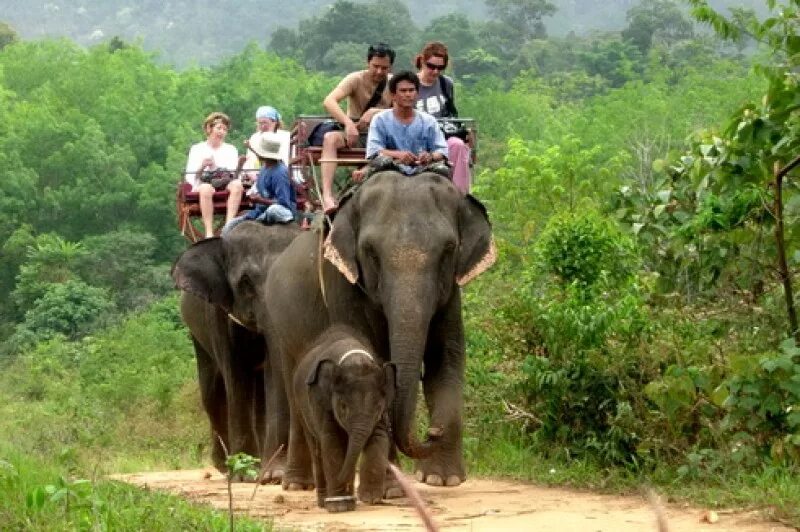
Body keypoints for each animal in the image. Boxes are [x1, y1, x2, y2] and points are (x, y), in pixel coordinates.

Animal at [172, 222, 300, 480]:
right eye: (245, 282)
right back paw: (223, 465)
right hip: (197, 335)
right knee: (212, 394)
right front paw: (243, 474)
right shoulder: (217, 312)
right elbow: (235, 377)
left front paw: (274, 475)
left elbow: (273, 374)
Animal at [292, 324, 396, 512]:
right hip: (300, 407)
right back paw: (324, 501)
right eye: (343, 407)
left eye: (378, 407)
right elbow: (331, 442)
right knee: (317, 450)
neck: (353, 356)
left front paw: (371, 499)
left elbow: (379, 437)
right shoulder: (320, 400)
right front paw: (338, 502)